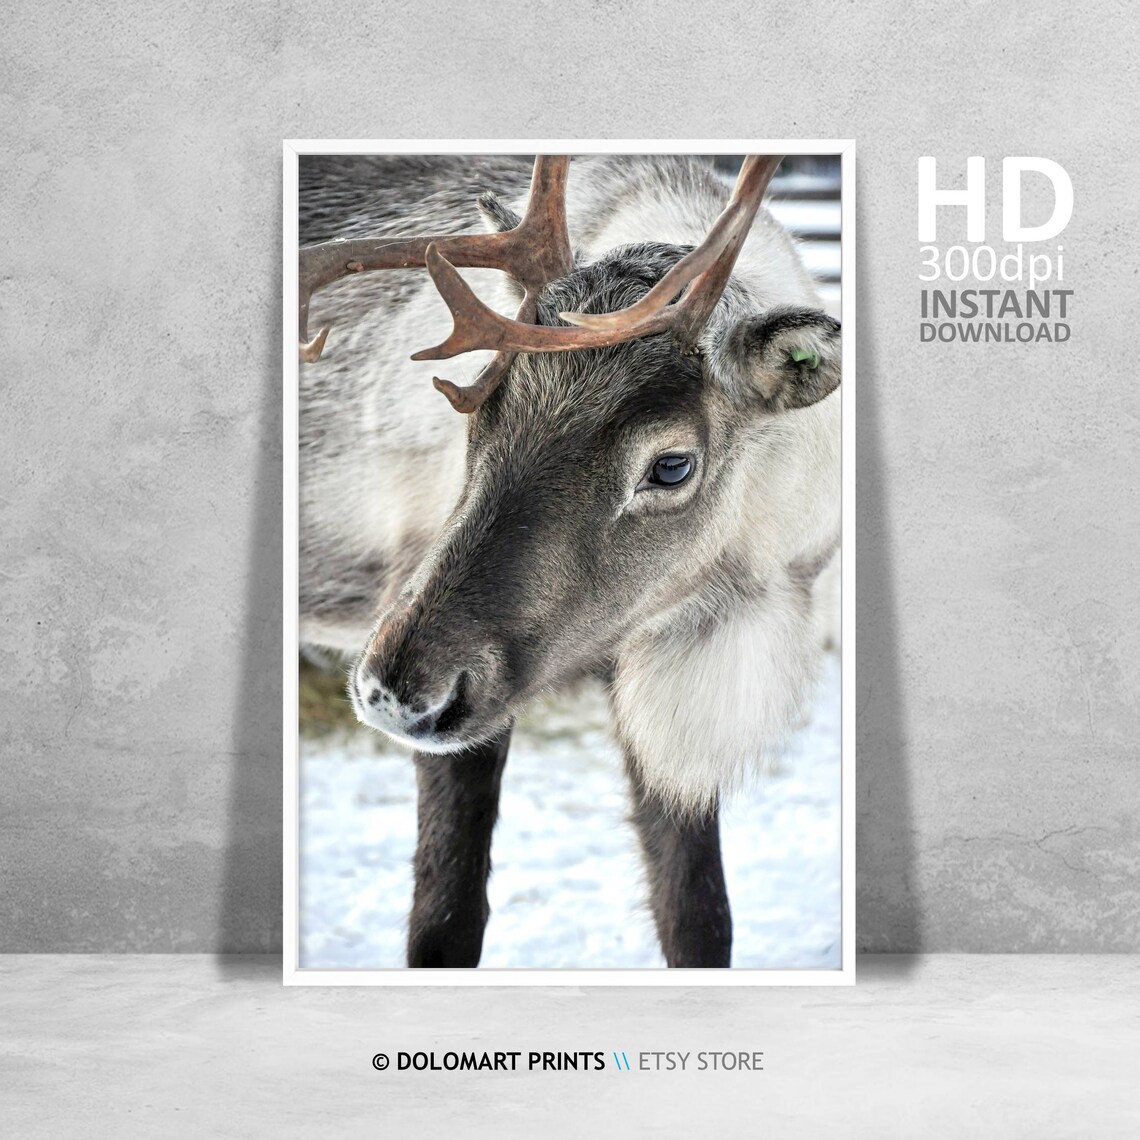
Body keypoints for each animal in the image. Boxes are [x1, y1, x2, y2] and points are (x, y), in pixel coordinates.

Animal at [297, 153, 841, 969]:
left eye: (672, 465)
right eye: (478, 415)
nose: (394, 694)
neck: (748, 583)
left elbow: (698, 917)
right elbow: (444, 926)